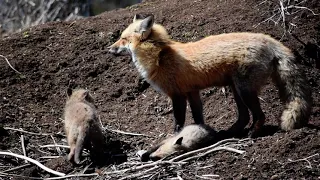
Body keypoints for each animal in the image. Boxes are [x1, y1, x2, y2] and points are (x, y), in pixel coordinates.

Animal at [109, 14, 312, 136]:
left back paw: (252, 134)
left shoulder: (177, 95)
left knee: (259, 115)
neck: (160, 56)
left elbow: (178, 120)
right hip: (236, 89)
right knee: (244, 116)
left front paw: (176, 136)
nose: (109, 49)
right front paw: (201, 134)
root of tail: (270, 40)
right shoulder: (192, 92)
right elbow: (198, 117)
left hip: (244, 90)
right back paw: (229, 133)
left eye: (123, 39)